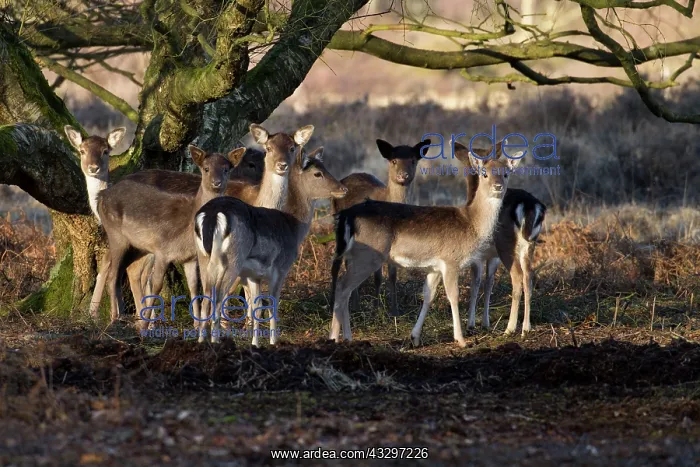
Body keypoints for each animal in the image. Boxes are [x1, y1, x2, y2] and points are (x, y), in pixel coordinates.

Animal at [92, 124, 313, 328]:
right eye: (269, 148)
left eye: (292, 147)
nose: (282, 165)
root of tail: (102, 194)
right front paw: (225, 324)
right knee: (124, 269)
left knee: (131, 268)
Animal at [194, 146, 348, 347]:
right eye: (318, 173)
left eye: (326, 168)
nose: (343, 189)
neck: (293, 226)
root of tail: (212, 215)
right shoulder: (280, 268)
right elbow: (272, 305)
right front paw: (274, 342)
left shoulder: (253, 275)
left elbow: (257, 307)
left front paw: (255, 343)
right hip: (232, 259)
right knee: (218, 299)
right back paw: (216, 341)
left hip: (203, 257)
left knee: (205, 298)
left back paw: (200, 341)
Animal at [330, 138, 430, 316]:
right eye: (394, 160)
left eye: (413, 160)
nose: (403, 176)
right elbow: (378, 276)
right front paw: (376, 310)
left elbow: (391, 275)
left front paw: (393, 310)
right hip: (339, 225)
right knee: (337, 263)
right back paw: (335, 304)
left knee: (349, 263)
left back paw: (354, 304)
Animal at [458, 141, 547, 336]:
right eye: (484, 172)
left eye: (505, 174)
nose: (498, 186)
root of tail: (529, 206)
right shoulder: (493, 256)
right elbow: (489, 282)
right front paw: (485, 322)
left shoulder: (479, 253)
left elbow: (476, 282)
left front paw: (471, 324)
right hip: (529, 244)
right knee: (529, 276)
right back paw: (526, 327)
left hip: (506, 243)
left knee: (517, 276)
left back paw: (510, 328)